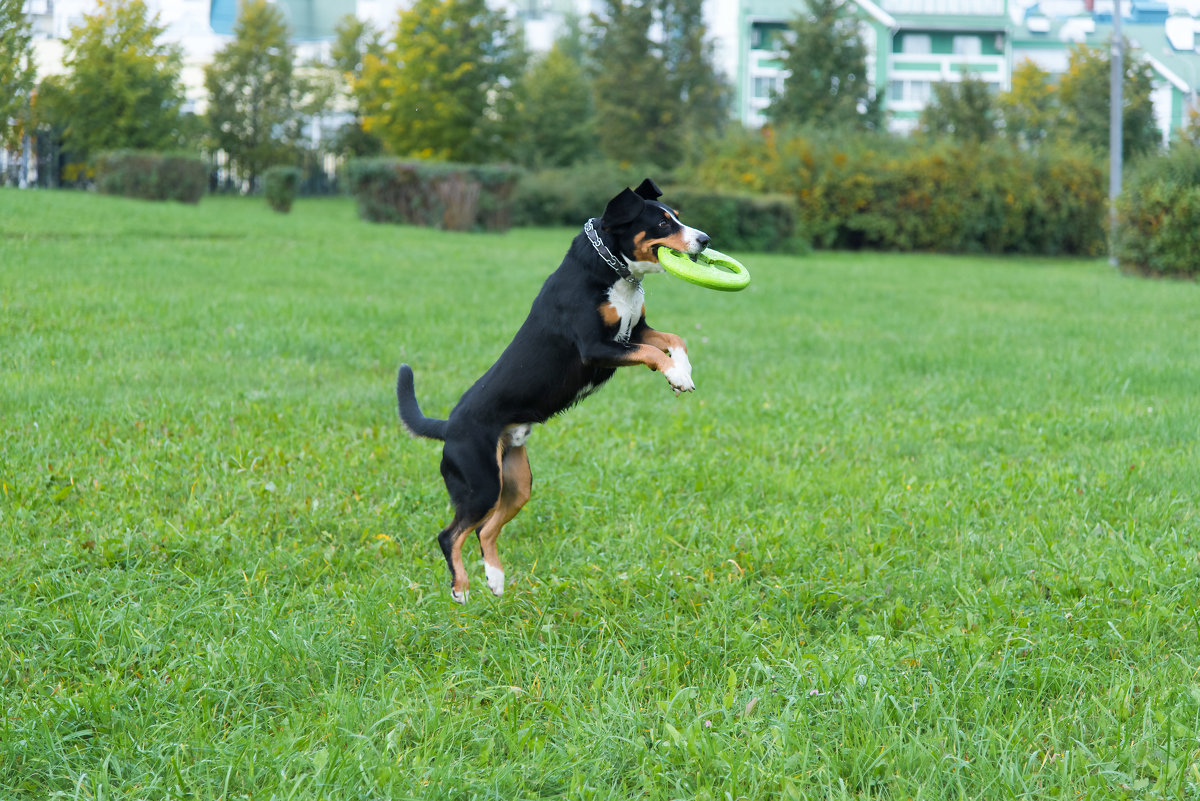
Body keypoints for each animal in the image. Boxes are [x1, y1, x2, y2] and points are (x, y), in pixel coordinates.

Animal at [398, 178, 705, 604]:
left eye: (676, 216)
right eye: (661, 222)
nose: (705, 240)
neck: (612, 275)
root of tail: (449, 427)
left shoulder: (636, 329)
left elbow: (675, 339)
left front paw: (682, 372)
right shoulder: (596, 347)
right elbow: (652, 353)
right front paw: (675, 374)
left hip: (516, 485)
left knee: (484, 529)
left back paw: (495, 578)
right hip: (481, 484)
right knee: (450, 534)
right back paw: (460, 588)